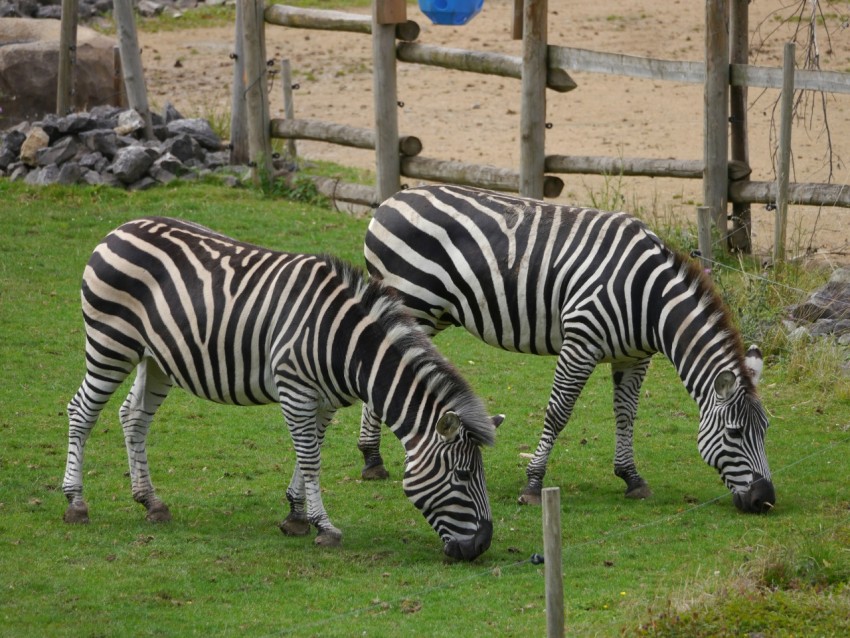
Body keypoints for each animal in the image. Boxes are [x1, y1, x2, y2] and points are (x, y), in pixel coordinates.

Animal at [63, 218, 500, 564]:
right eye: (463, 475)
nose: (481, 546)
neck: (346, 343)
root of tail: (121, 228)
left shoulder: (323, 401)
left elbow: (310, 452)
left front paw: (296, 516)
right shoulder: (295, 390)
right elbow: (310, 459)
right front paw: (325, 527)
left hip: (155, 358)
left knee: (133, 417)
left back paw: (150, 501)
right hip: (110, 343)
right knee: (81, 412)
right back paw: (76, 503)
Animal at [358, 184, 776, 516]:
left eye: (766, 430)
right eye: (735, 433)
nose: (765, 500)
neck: (648, 299)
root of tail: (392, 199)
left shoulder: (635, 356)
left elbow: (626, 415)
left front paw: (631, 477)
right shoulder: (581, 341)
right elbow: (558, 413)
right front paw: (532, 484)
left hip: (431, 312)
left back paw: (371, 458)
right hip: (412, 303)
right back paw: (372, 460)